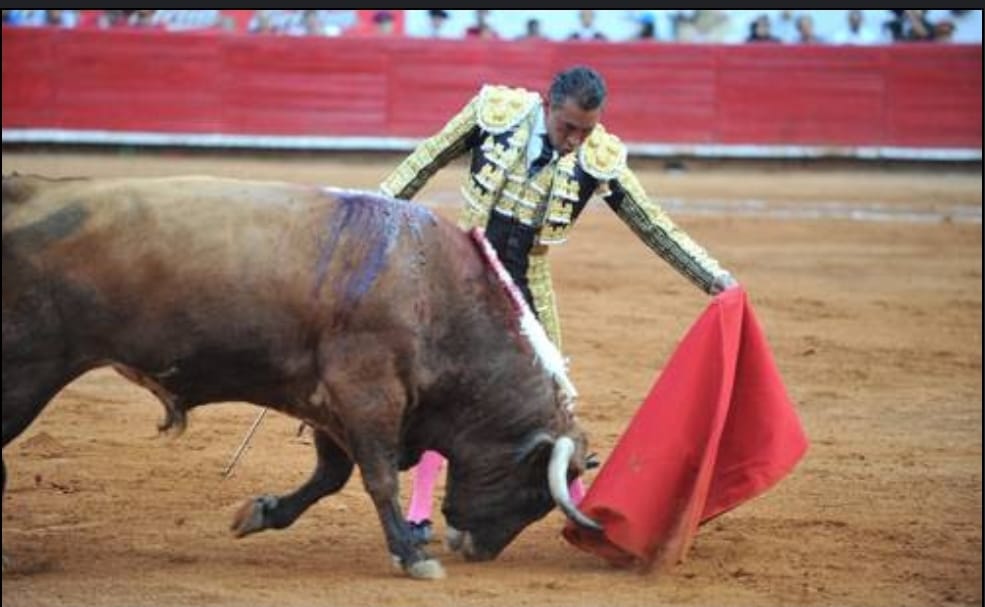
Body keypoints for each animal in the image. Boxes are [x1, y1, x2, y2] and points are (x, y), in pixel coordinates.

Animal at [2, 173, 601, 579]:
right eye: (533, 492)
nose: (478, 550)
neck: (436, 293)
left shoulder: (327, 400)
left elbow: (331, 475)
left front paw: (261, 513)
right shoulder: (366, 391)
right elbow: (378, 475)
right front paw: (411, 556)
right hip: (25, 374)